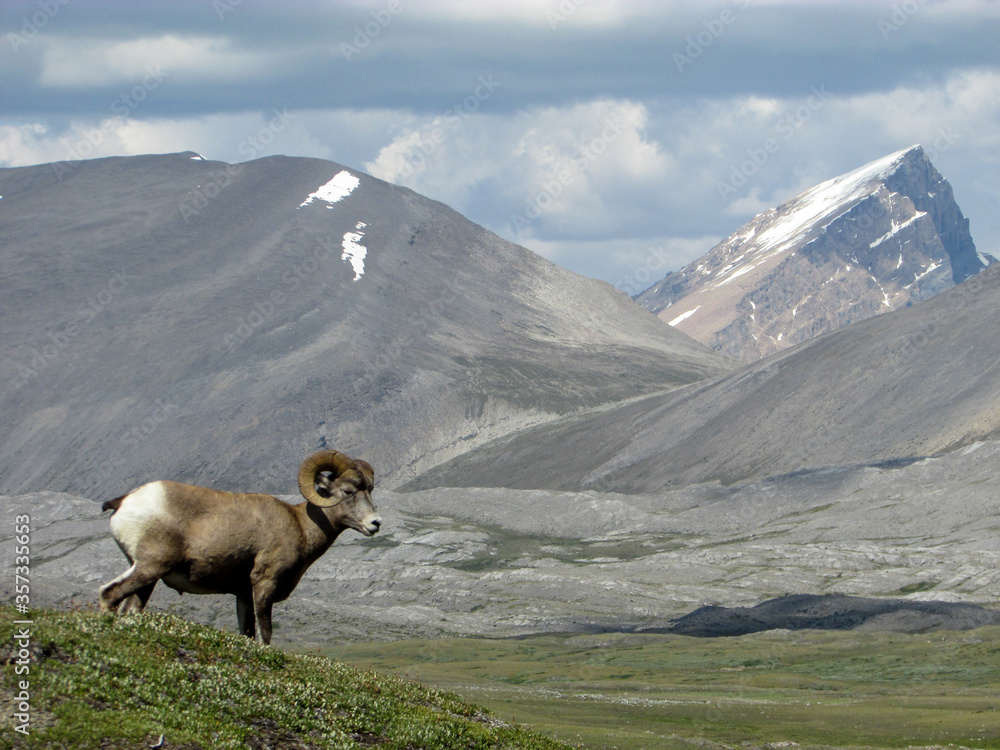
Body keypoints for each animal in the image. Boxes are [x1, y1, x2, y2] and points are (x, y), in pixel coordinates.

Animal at [99, 450, 381, 645]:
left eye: (369, 490)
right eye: (348, 491)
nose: (375, 523)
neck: (300, 524)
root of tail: (125, 501)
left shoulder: (243, 594)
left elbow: (247, 633)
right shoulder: (264, 584)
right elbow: (265, 633)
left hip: (146, 577)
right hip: (150, 567)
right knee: (108, 593)